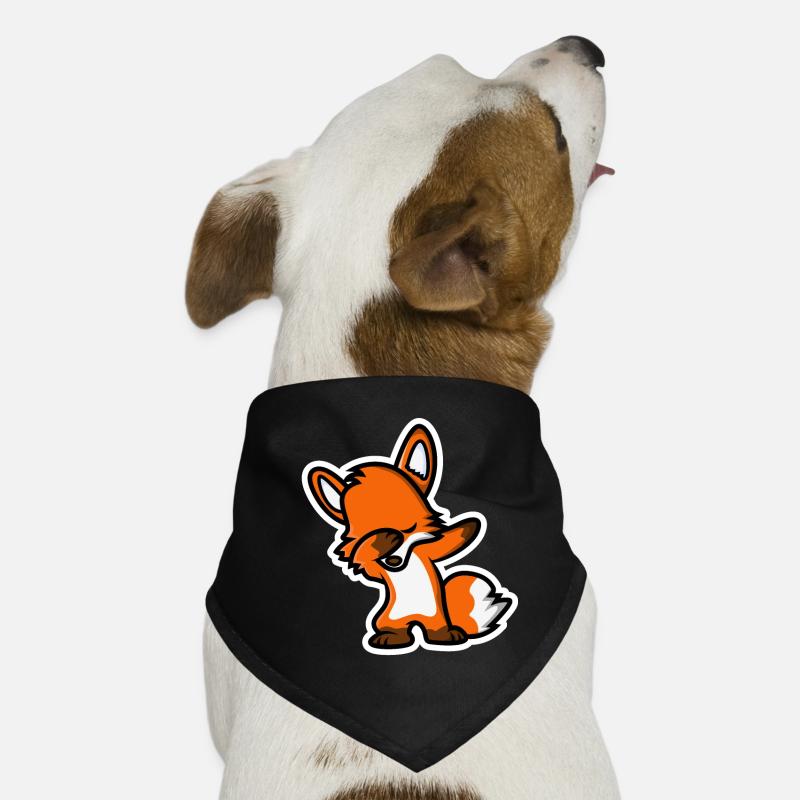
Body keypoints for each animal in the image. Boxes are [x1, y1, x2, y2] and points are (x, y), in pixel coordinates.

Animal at [303, 418, 517, 654]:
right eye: (367, 533)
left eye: (410, 528)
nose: (393, 560)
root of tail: (415, 620)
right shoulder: (371, 566)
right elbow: (362, 555)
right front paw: (382, 540)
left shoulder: (426, 550)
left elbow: (448, 542)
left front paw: (468, 526)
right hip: (389, 619)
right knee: (394, 629)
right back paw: (390, 637)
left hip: (436, 617)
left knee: (435, 628)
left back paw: (444, 635)